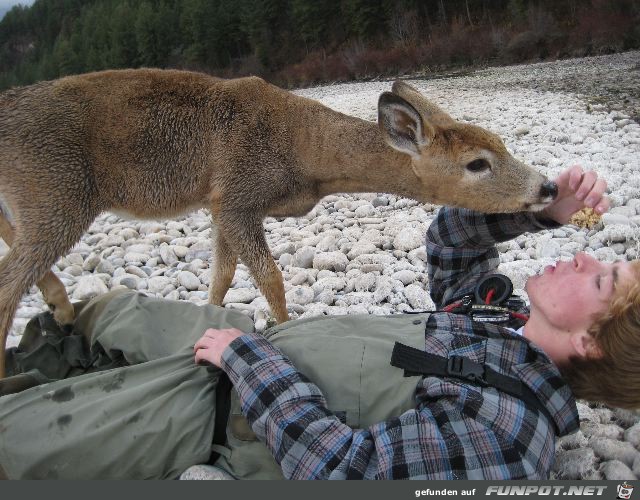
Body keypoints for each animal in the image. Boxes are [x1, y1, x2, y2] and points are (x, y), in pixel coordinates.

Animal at [0, 68, 556, 376]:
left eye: (502, 143)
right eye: (477, 164)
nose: (547, 187)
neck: (305, 154)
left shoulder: (220, 203)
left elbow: (222, 275)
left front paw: (210, 320)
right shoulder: (239, 195)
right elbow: (270, 278)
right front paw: (287, 333)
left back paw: (61, 307)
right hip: (57, 189)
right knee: (9, 283)